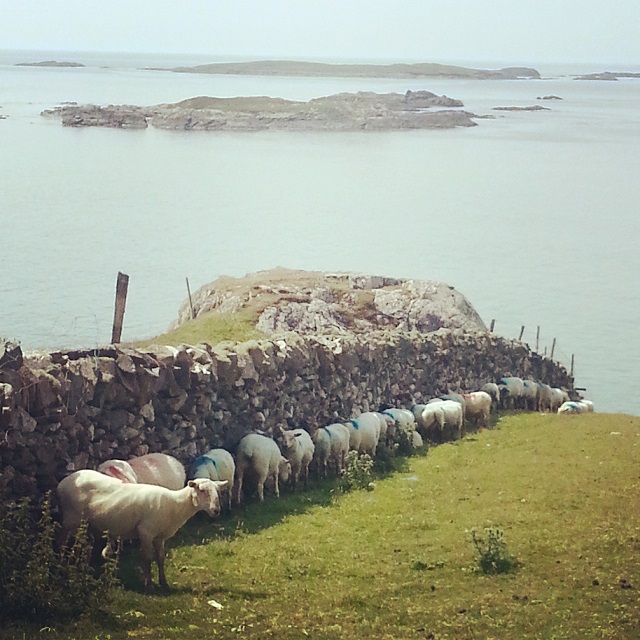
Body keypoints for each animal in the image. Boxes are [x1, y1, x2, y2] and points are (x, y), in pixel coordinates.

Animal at [57, 468, 228, 592]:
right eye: (202, 491)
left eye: (218, 492)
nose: (216, 511)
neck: (175, 505)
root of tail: (63, 482)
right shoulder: (145, 532)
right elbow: (147, 558)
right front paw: (149, 584)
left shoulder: (160, 537)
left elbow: (160, 558)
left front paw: (164, 583)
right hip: (70, 519)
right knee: (63, 542)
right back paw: (61, 565)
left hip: (85, 524)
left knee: (81, 545)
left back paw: (80, 566)